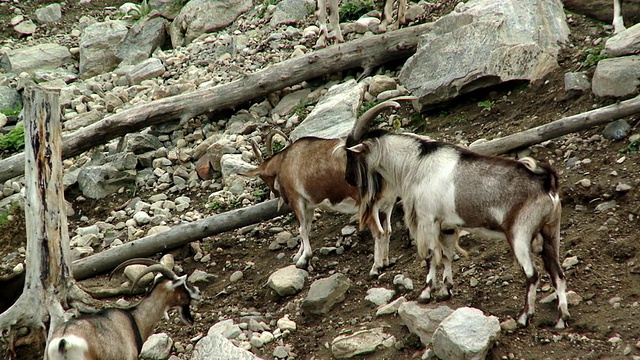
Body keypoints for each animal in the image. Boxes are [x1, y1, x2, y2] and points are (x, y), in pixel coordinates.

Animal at [241, 108, 400, 278]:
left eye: (263, 177)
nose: (275, 194)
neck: (285, 161)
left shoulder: (297, 199)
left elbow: (301, 228)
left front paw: (303, 259)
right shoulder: (309, 205)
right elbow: (307, 227)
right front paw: (299, 255)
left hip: (368, 204)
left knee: (378, 232)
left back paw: (376, 267)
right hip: (386, 203)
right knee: (388, 230)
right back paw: (386, 261)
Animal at [348, 99, 572, 330]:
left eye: (351, 154)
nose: (348, 178)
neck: (416, 164)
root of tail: (547, 183)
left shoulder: (427, 220)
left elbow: (431, 256)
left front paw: (426, 294)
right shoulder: (447, 225)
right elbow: (447, 255)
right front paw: (445, 290)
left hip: (520, 234)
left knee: (533, 275)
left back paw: (524, 317)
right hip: (551, 232)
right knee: (558, 274)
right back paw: (561, 319)